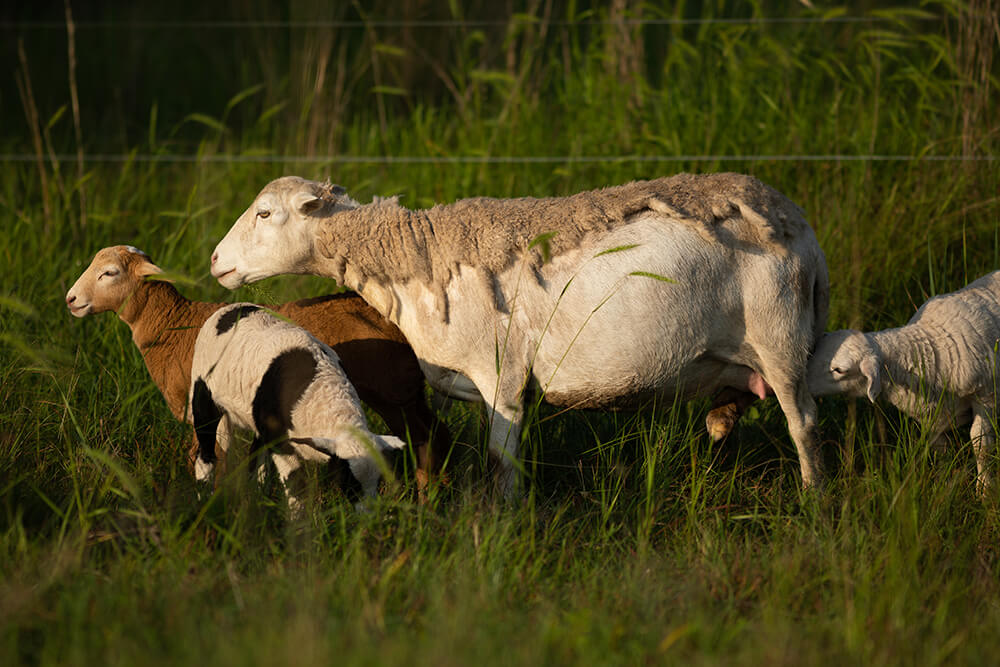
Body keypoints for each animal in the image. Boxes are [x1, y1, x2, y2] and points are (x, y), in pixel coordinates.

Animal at [189, 302, 404, 506]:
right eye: (349, 483)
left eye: (379, 482)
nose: (369, 516)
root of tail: (228, 309)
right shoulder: (281, 444)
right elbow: (295, 488)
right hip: (203, 395)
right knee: (205, 455)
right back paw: (204, 501)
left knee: (255, 459)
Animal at [804, 272, 1000, 496]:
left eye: (839, 370)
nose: (802, 381)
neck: (932, 347)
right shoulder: (932, 414)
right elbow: (940, 448)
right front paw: (943, 484)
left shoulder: (986, 395)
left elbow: (981, 444)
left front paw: (984, 490)